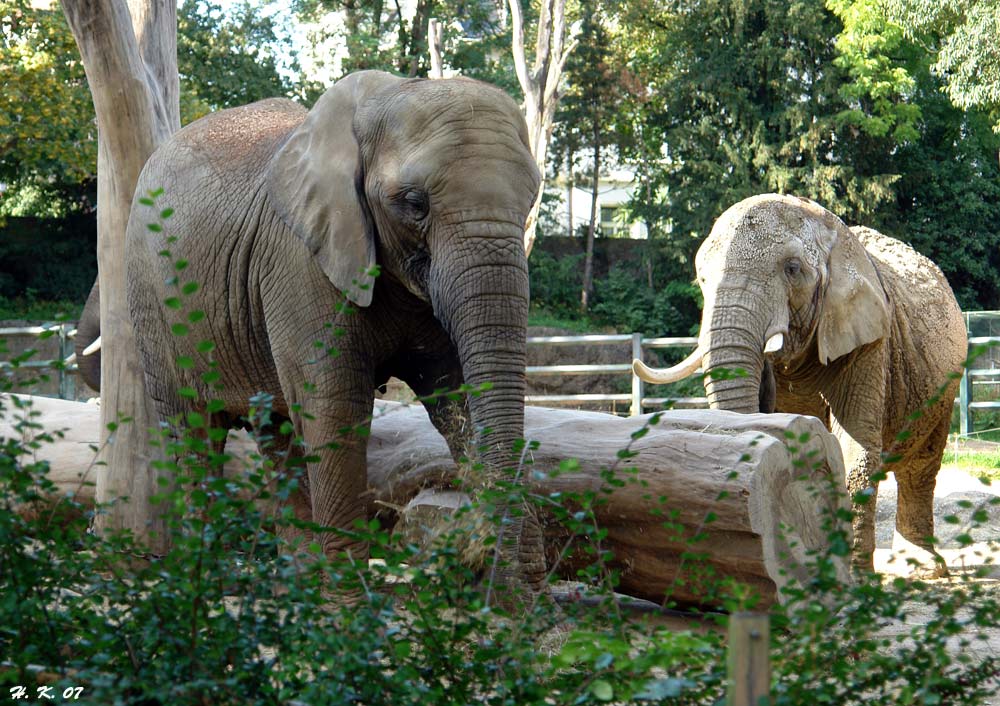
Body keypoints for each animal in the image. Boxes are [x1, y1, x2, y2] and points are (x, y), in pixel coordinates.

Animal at [82, 70, 544, 592]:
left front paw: (523, 593)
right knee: (193, 433)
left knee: (276, 432)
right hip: (152, 299)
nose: (505, 585)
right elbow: (334, 409)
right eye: (414, 203)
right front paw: (350, 607)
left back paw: (299, 587)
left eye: (532, 198)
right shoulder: (299, 261)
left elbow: (458, 398)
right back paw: (204, 584)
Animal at [632, 192, 968, 572]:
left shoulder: (868, 339)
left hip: (945, 386)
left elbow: (855, 454)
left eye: (792, 269)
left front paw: (852, 580)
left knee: (920, 468)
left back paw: (924, 567)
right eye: (702, 279)